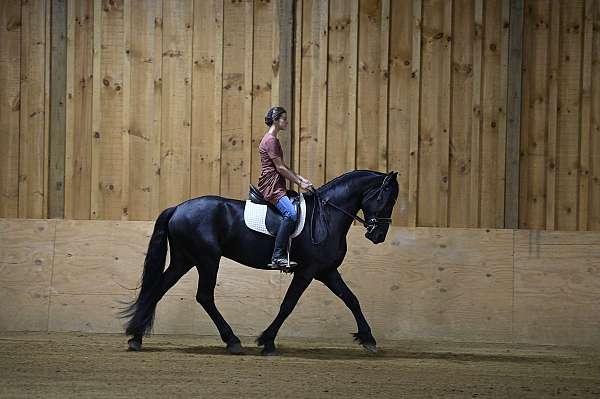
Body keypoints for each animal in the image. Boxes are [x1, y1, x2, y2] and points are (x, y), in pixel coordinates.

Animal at [122, 169, 398, 356]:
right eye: (386, 197)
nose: (378, 236)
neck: (327, 216)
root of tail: (178, 208)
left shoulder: (327, 271)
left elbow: (351, 299)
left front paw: (368, 339)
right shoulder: (307, 271)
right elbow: (288, 305)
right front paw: (267, 341)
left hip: (185, 259)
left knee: (158, 289)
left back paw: (136, 337)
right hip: (207, 259)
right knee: (204, 296)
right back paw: (233, 341)